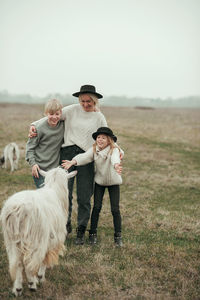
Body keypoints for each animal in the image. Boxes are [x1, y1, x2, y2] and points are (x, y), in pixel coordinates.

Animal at [0, 168, 76, 296]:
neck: (55, 190)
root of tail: (19, 209)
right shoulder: (50, 239)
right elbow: (44, 259)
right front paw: (40, 277)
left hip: (11, 240)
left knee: (18, 263)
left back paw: (18, 288)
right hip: (34, 239)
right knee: (27, 262)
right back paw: (32, 284)